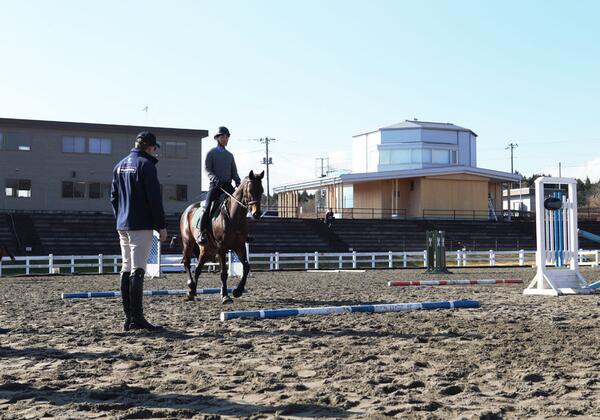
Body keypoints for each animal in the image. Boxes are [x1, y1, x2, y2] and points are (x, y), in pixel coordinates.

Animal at [178, 169, 262, 304]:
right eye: (250, 190)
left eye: (262, 190)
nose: (257, 213)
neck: (233, 217)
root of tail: (188, 210)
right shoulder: (222, 248)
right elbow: (223, 273)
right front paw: (225, 296)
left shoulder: (239, 246)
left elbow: (246, 267)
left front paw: (237, 291)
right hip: (188, 242)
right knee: (187, 262)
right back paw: (190, 287)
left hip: (206, 250)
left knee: (197, 269)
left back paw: (192, 292)